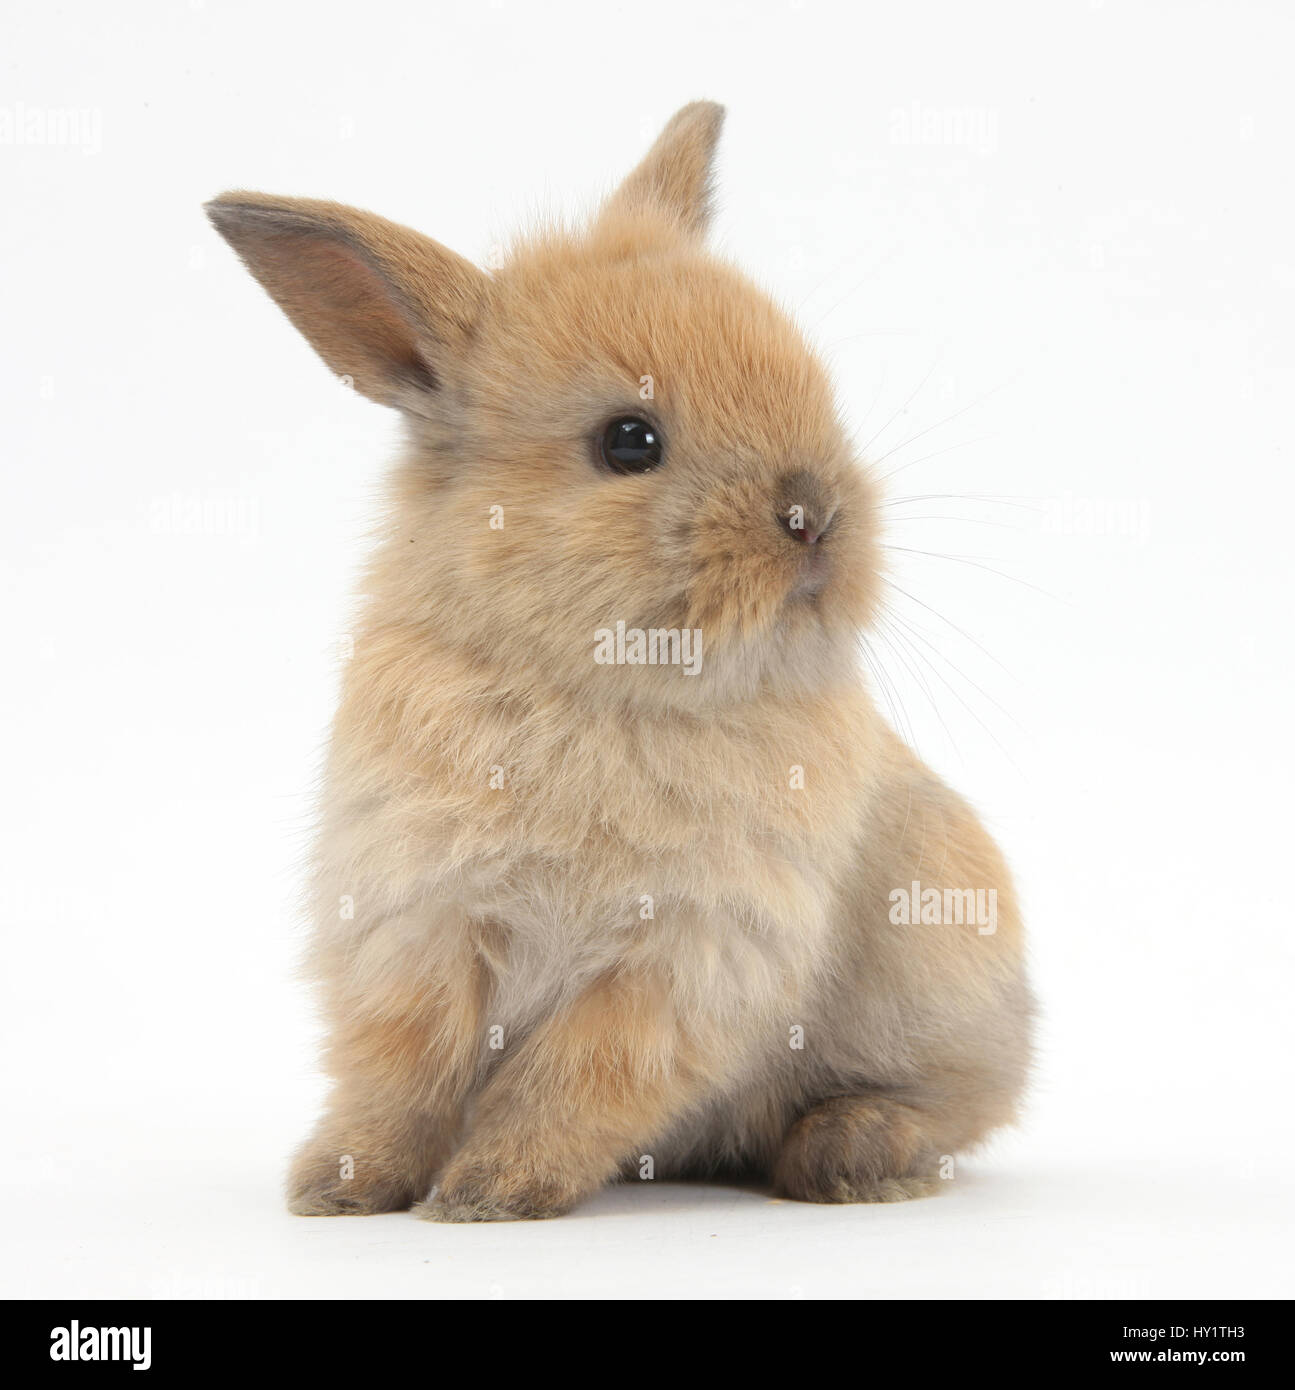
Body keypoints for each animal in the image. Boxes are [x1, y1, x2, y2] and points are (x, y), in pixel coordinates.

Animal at [206, 101, 1034, 1221]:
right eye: (628, 441)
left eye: (813, 389)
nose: (813, 516)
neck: (595, 688)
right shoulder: (415, 929)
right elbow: (399, 1072)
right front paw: (341, 1186)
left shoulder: (679, 961)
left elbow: (573, 1080)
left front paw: (487, 1192)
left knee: (947, 1107)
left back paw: (848, 1151)